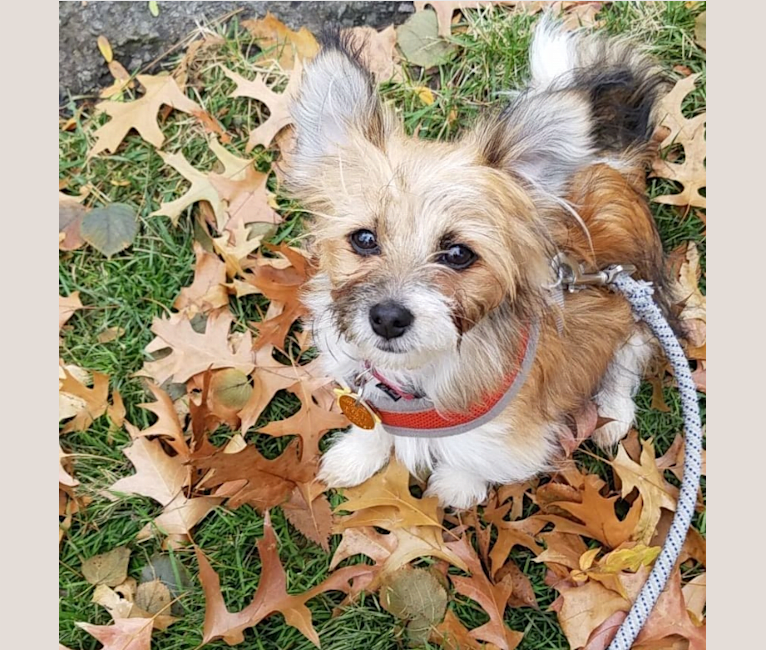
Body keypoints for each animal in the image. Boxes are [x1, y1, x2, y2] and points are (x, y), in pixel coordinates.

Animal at [282, 17, 672, 508]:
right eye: (365, 239)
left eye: (457, 254)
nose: (388, 318)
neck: (416, 374)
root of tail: (610, 164)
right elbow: (373, 422)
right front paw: (359, 452)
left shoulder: (514, 426)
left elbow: (480, 455)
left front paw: (458, 485)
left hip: (635, 309)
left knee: (626, 363)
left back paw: (613, 413)